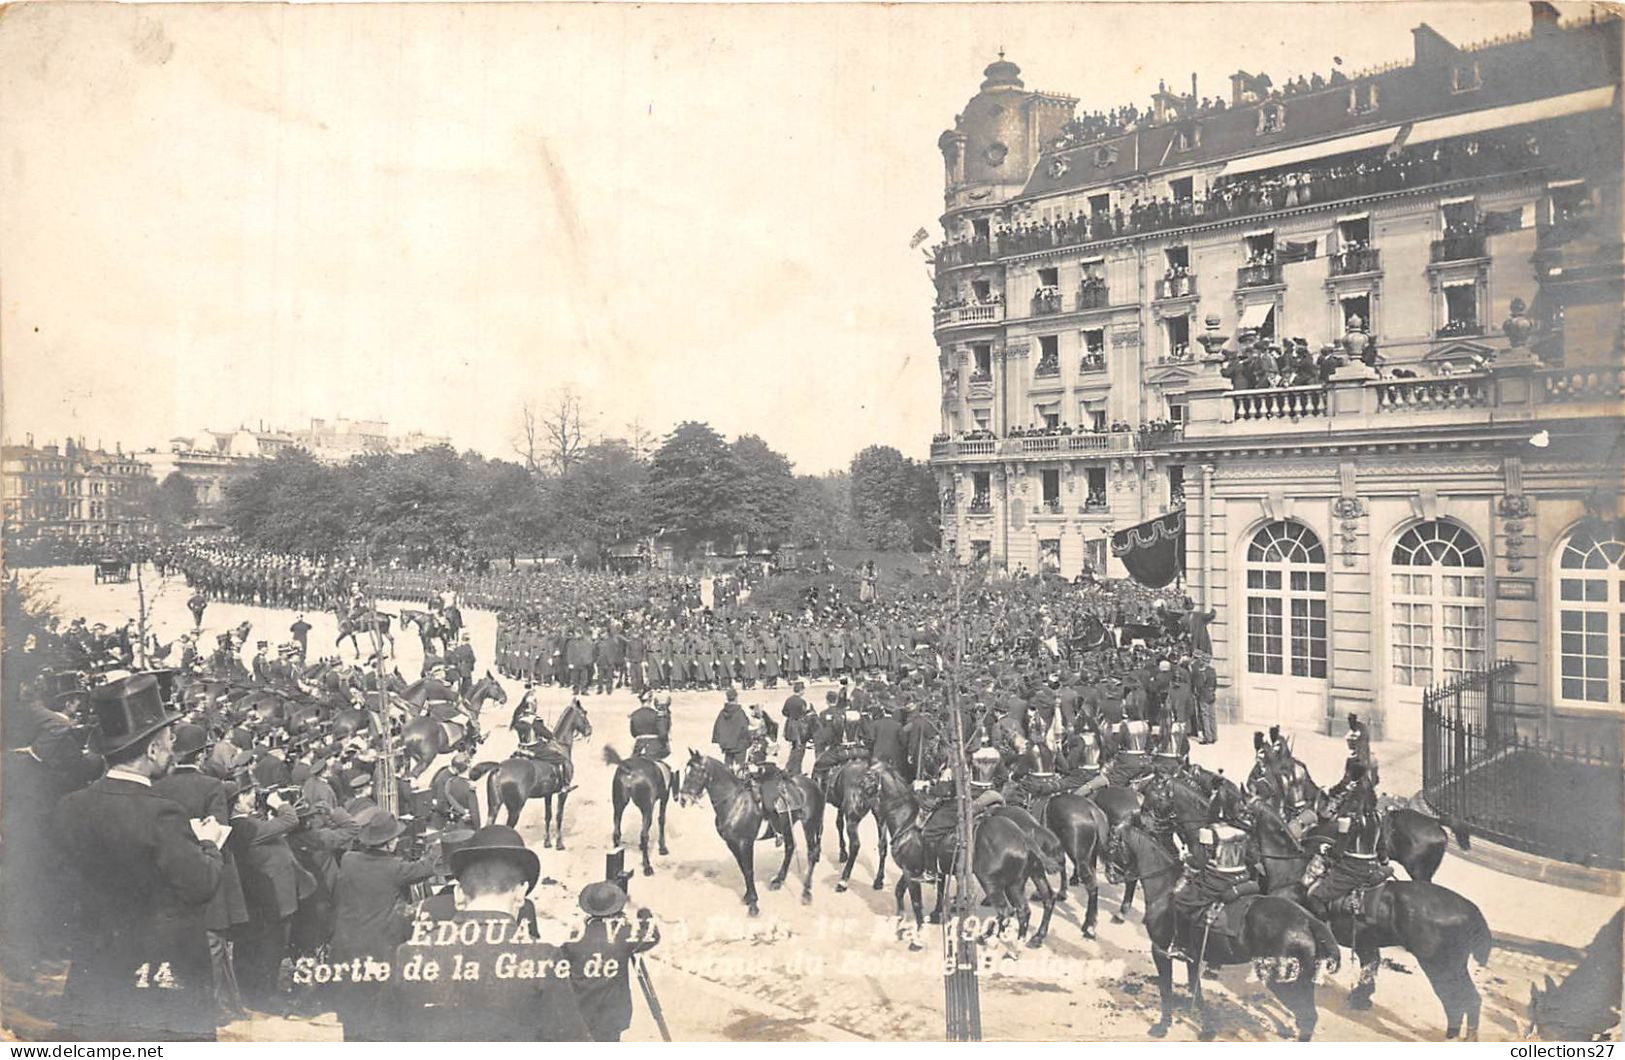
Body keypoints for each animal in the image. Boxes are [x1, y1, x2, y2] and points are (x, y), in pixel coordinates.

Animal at [468, 699, 594, 851]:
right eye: (584, 714)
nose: (589, 731)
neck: (560, 746)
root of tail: (499, 768)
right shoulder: (562, 793)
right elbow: (559, 816)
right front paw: (559, 844)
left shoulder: (548, 794)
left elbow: (548, 816)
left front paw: (547, 842)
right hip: (515, 809)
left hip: (494, 807)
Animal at [607, 744, 676, 877]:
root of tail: (629, 770)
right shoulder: (664, 798)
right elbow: (661, 819)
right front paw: (662, 848)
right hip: (647, 808)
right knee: (644, 835)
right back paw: (647, 866)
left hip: (618, 805)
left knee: (617, 832)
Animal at [1105, 819, 1345, 1033]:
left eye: (1113, 846)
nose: (1110, 874)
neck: (1166, 888)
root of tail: (1309, 921)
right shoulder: (1193, 958)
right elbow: (1196, 993)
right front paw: (1207, 1029)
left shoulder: (1160, 951)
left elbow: (1166, 990)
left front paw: (1163, 1026)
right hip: (1303, 982)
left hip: (1283, 982)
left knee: (1307, 1018)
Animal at [1248, 803, 1488, 1033]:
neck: (1292, 870)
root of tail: (1472, 910)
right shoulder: (1365, 941)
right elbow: (1369, 965)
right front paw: (1361, 997)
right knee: (1468, 999)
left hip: (1441, 965)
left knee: (1461, 999)